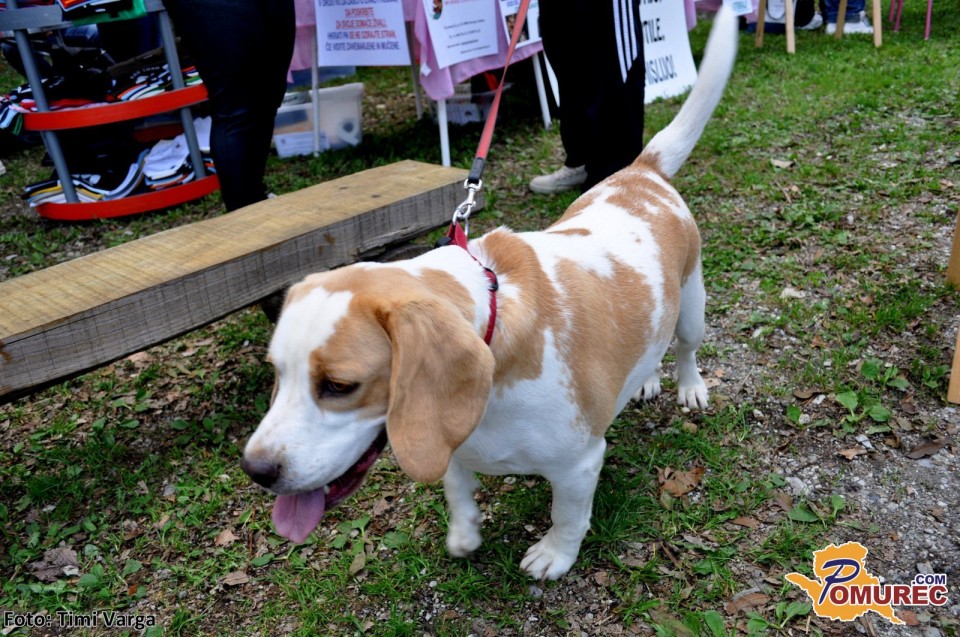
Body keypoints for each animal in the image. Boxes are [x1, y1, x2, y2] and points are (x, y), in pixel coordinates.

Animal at [241, 7, 738, 581]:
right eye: (277, 373)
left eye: (340, 386)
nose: (255, 470)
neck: (494, 333)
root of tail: (642, 172)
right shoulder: (450, 440)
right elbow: (457, 486)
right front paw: (464, 531)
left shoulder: (578, 464)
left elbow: (568, 516)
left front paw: (554, 555)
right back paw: (645, 379)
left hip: (693, 305)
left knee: (686, 348)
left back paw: (688, 385)